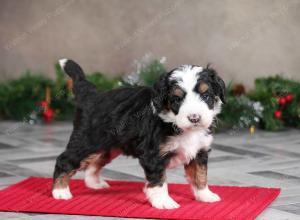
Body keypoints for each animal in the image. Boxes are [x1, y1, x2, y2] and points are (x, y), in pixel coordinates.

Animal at [52, 58, 225, 210]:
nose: (194, 118)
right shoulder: (153, 155)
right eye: (177, 99)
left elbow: (200, 175)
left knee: (95, 162)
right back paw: (60, 191)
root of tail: (91, 94)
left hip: (109, 146)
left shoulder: (199, 151)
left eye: (206, 96)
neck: (176, 124)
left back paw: (95, 183)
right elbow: (159, 179)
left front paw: (205, 195)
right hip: (88, 141)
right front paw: (163, 202)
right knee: (64, 159)